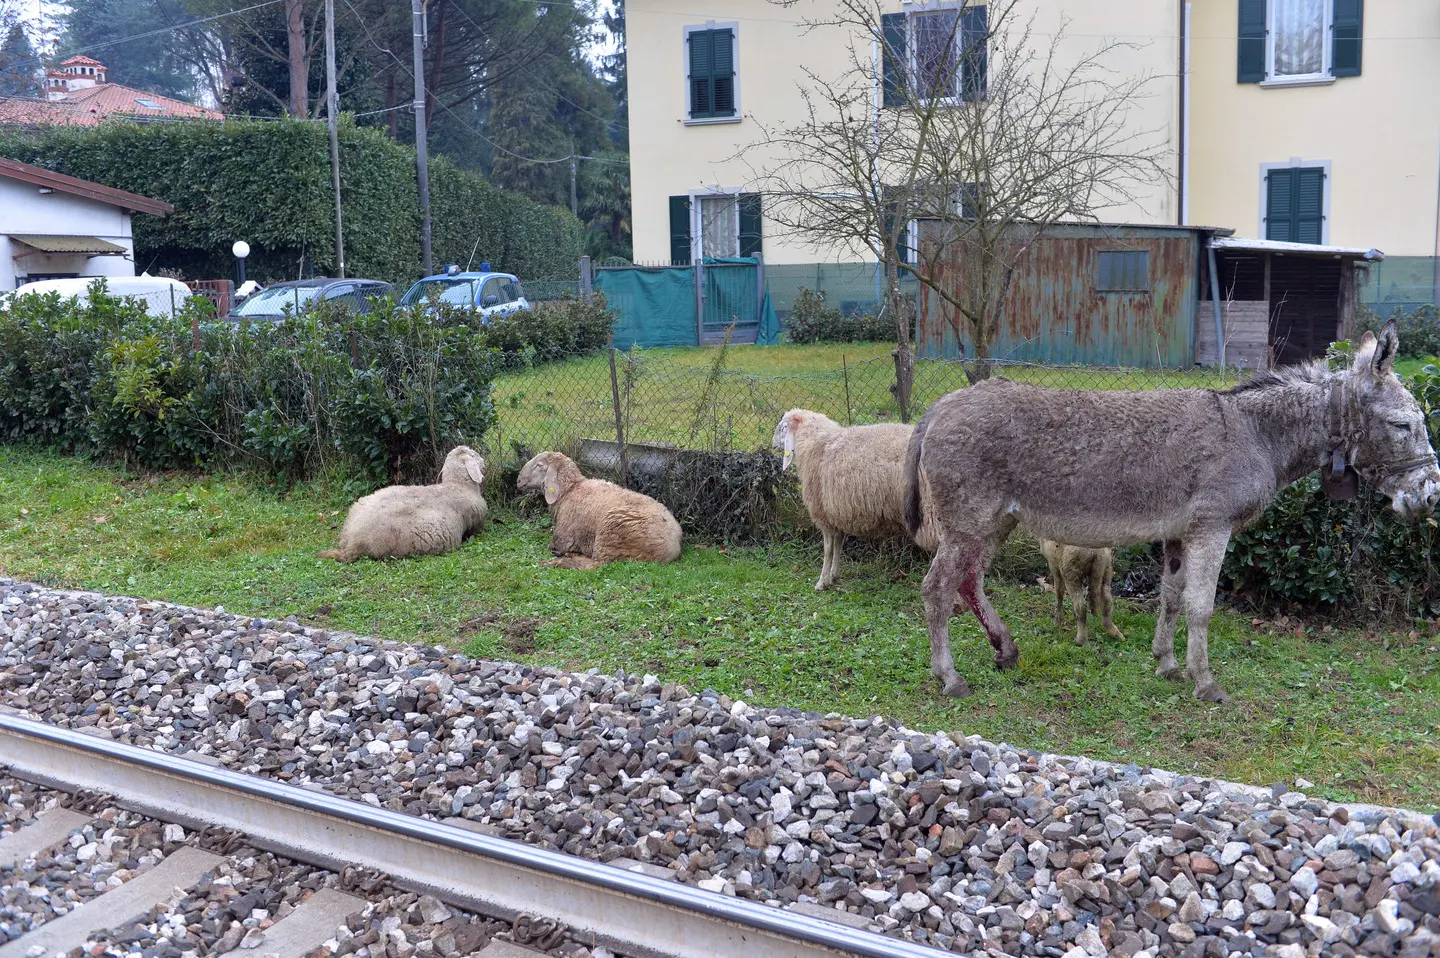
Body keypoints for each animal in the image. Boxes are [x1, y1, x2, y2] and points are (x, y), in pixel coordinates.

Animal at [771, 406, 938, 590]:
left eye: (782, 428)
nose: (772, 444)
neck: (817, 444)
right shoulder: (836, 514)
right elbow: (838, 544)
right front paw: (834, 576)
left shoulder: (823, 513)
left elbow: (827, 549)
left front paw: (822, 582)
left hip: (931, 507)